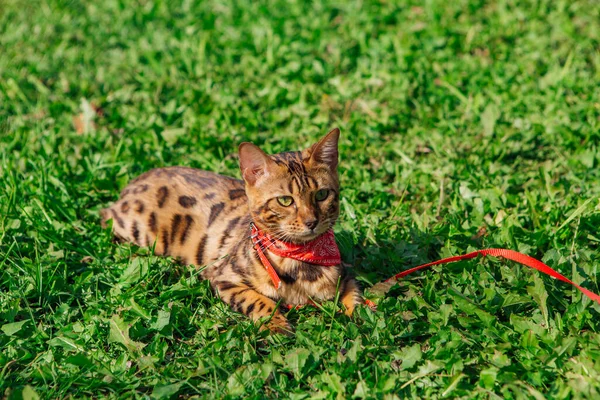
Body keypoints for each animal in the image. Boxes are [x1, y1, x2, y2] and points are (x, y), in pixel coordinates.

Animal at [101, 129, 364, 334]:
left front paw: (362, 319)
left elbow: (356, 295)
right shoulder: (224, 278)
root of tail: (134, 182)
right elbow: (259, 301)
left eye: (322, 194)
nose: (312, 221)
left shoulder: (345, 275)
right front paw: (277, 325)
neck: (301, 259)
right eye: (285, 200)